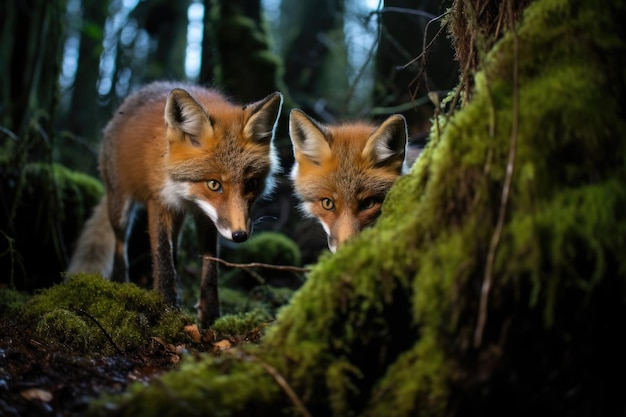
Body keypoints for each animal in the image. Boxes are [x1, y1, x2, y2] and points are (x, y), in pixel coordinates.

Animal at [67, 81, 282, 326]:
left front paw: (209, 314)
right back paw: (120, 282)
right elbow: (162, 257)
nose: (240, 235)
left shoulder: (206, 218)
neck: (187, 196)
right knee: (121, 245)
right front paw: (167, 309)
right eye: (214, 184)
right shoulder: (159, 202)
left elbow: (210, 264)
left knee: (175, 251)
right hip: (120, 204)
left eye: (252, 183)